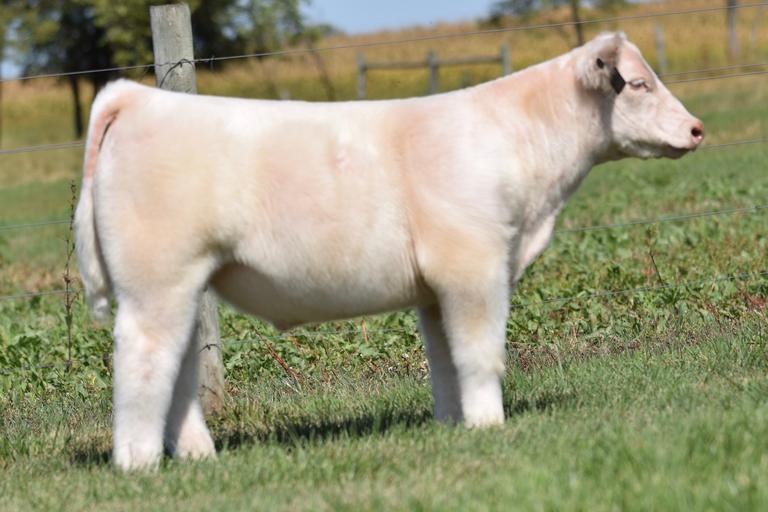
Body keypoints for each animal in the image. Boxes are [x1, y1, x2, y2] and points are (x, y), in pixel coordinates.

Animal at [75, 32, 704, 471]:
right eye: (639, 84)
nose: (697, 129)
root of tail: (138, 97)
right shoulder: (474, 265)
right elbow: (480, 354)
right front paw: (491, 425)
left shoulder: (436, 287)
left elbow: (445, 361)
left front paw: (457, 426)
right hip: (157, 281)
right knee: (143, 362)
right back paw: (137, 464)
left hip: (180, 285)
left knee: (177, 371)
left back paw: (198, 456)